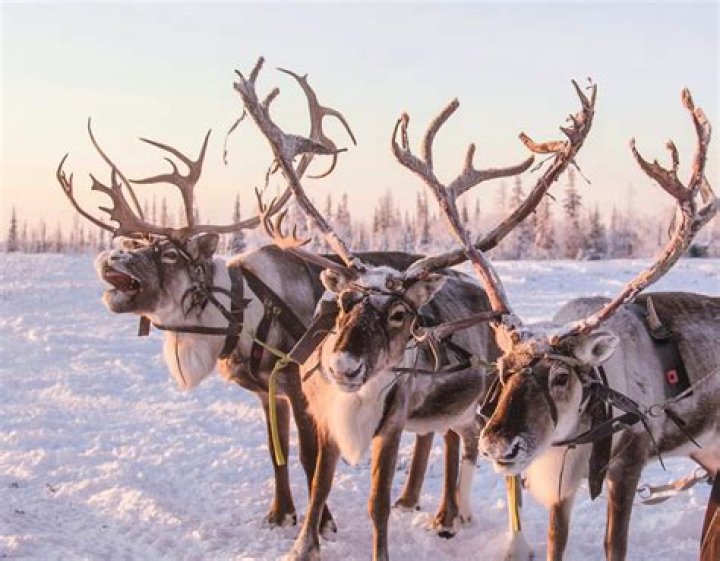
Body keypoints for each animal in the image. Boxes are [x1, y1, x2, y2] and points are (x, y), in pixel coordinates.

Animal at [232, 57, 597, 561]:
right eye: (342, 303)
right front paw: (302, 547)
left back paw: (475, 522)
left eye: (399, 315)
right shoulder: (326, 420)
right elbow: (318, 489)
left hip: (482, 401)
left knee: (477, 451)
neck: (355, 403)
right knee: (452, 438)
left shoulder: (391, 425)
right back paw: (442, 510)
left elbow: (376, 504)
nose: (345, 366)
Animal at [400, 86, 718, 561]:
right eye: (501, 370)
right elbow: (556, 541)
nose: (499, 445)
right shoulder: (561, 480)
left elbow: (614, 544)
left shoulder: (630, 459)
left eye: (561, 376)